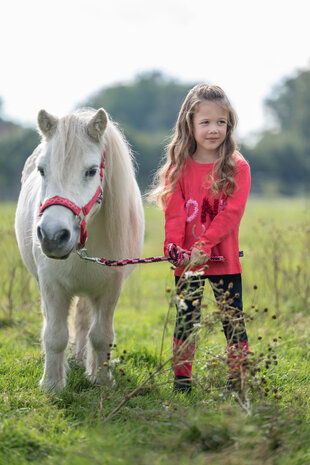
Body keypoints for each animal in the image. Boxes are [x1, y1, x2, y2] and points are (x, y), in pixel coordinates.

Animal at [15, 109, 144, 392]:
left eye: (91, 171)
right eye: (42, 170)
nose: (53, 236)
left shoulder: (110, 287)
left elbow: (102, 335)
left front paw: (102, 380)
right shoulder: (51, 286)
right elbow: (54, 335)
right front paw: (52, 385)